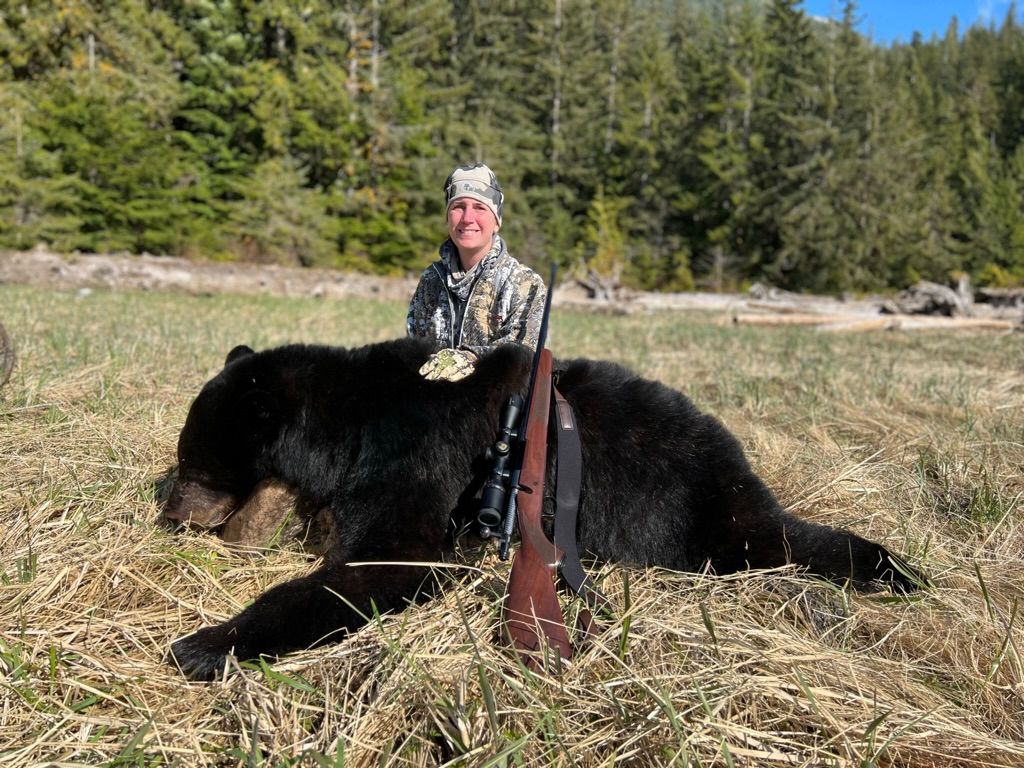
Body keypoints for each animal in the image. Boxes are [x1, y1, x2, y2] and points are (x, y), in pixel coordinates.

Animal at [165, 335, 921, 679]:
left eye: (193, 464)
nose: (167, 513)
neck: (354, 416)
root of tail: (730, 443)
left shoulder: (419, 453)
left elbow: (392, 560)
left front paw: (203, 643)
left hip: (695, 498)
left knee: (769, 539)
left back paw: (894, 569)